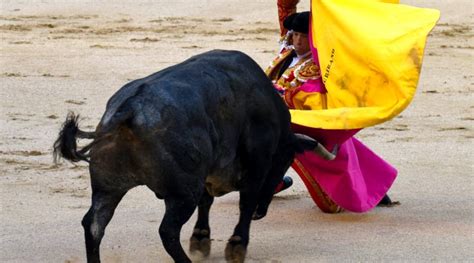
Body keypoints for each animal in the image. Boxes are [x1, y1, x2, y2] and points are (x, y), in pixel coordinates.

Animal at [52, 50, 334, 262]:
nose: (261, 213)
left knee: (94, 225)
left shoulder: (208, 173)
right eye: (285, 163)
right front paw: (236, 245)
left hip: (108, 187)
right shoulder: (257, 164)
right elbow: (245, 201)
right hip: (181, 192)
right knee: (167, 230)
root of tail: (129, 110)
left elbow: (207, 202)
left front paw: (201, 238)